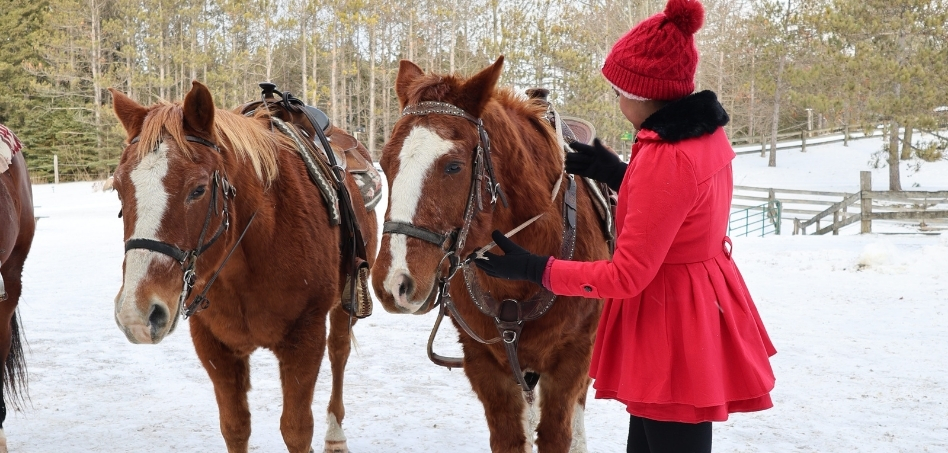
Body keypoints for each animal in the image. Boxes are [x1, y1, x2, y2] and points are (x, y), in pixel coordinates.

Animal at [109, 81, 378, 453]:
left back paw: (336, 434)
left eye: (198, 189)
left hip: (344, 302)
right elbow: (235, 428)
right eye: (119, 189)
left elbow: (297, 430)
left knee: (340, 353)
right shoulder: (213, 345)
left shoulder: (305, 338)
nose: (138, 313)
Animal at [371, 57, 612, 453]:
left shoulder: (572, 358)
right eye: (385, 161)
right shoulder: (484, 364)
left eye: (453, 166)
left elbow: (557, 431)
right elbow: (510, 436)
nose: (394, 283)